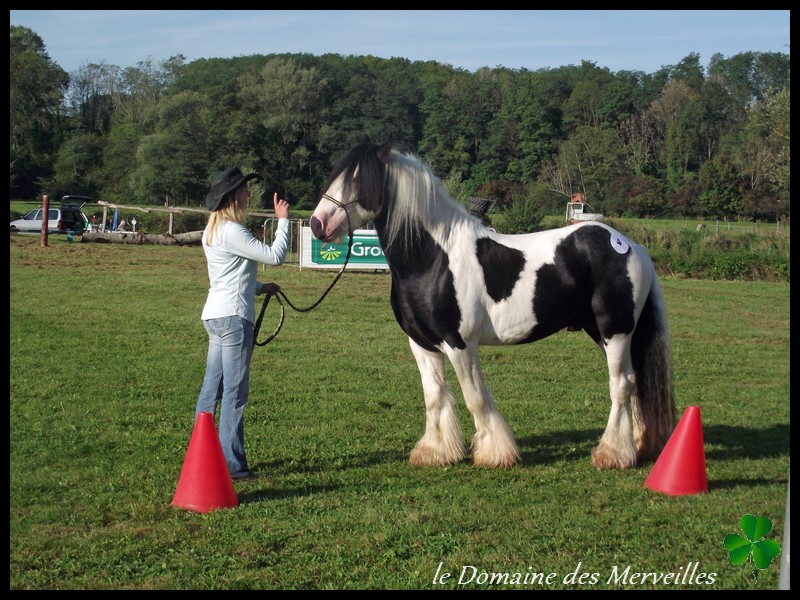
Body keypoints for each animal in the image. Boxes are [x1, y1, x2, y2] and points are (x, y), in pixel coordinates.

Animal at [310, 141, 672, 468]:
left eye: (359, 181)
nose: (317, 225)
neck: (432, 259)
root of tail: (631, 245)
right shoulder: (421, 344)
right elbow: (435, 396)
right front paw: (435, 452)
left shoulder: (460, 344)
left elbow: (475, 398)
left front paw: (495, 454)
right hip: (601, 331)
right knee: (635, 381)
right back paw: (637, 445)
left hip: (615, 330)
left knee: (622, 385)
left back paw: (612, 455)